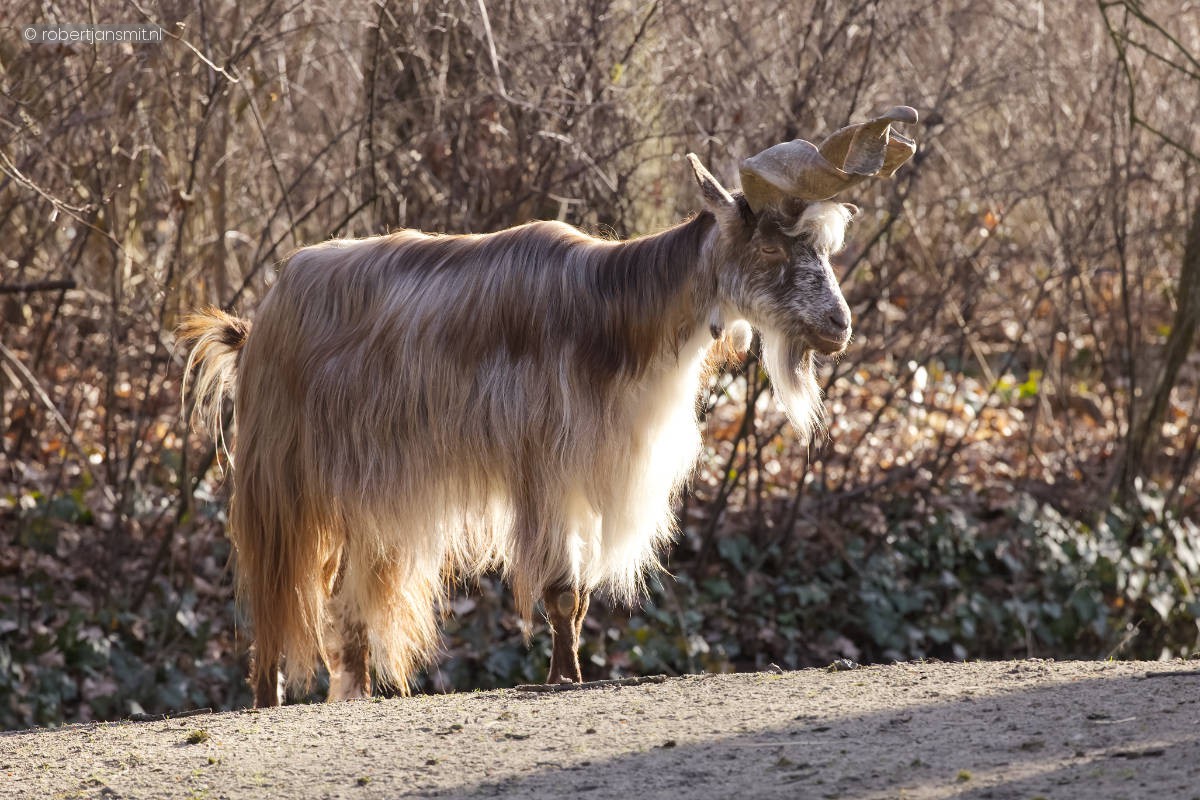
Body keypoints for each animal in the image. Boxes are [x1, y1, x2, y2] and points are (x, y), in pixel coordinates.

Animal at [178, 107, 916, 706]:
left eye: (823, 247)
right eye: (767, 244)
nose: (838, 326)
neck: (615, 317)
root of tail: (258, 323)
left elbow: (582, 598)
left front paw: (569, 675)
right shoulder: (547, 470)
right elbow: (562, 592)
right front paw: (565, 679)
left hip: (364, 498)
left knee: (344, 605)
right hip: (280, 483)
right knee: (274, 598)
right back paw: (267, 697)